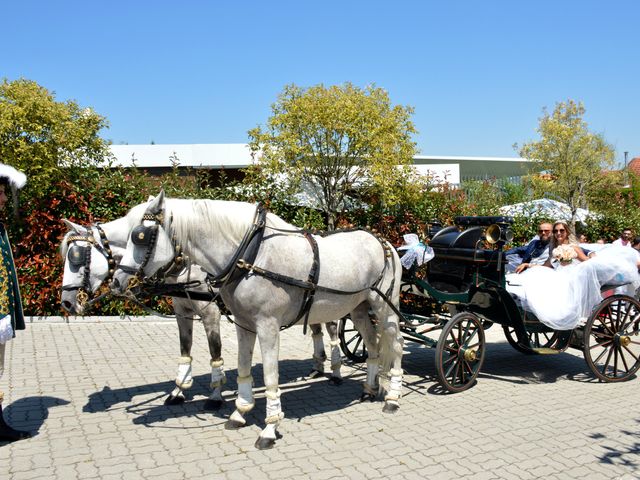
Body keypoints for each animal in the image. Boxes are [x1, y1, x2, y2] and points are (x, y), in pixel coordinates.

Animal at [58, 218, 228, 408]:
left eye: (75, 256)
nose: (66, 302)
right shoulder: (182, 310)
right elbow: (185, 347)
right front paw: (178, 392)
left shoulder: (211, 312)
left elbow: (215, 349)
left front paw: (215, 396)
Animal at [109, 191, 400, 450]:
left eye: (140, 236)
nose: (116, 281)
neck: (251, 255)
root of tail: (382, 242)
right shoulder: (243, 323)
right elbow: (242, 366)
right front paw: (240, 412)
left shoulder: (267, 326)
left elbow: (270, 375)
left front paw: (269, 428)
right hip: (359, 309)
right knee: (372, 345)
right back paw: (370, 389)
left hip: (385, 310)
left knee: (394, 347)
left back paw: (392, 398)